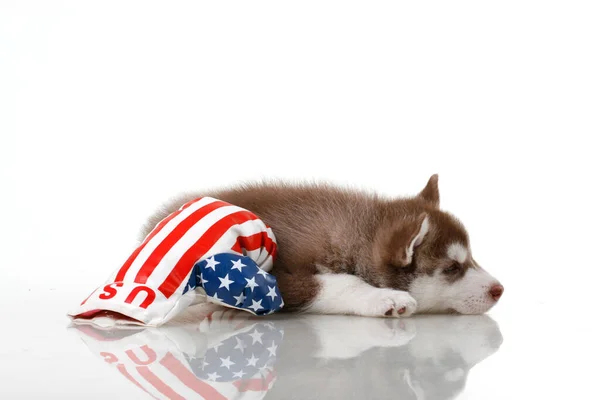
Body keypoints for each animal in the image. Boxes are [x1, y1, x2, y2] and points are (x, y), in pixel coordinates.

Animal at [143, 175, 504, 318]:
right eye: (452, 268)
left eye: (471, 259)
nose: (499, 289)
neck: (359, 233)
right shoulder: (280, 276)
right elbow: (338, 282)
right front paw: (384, 298)